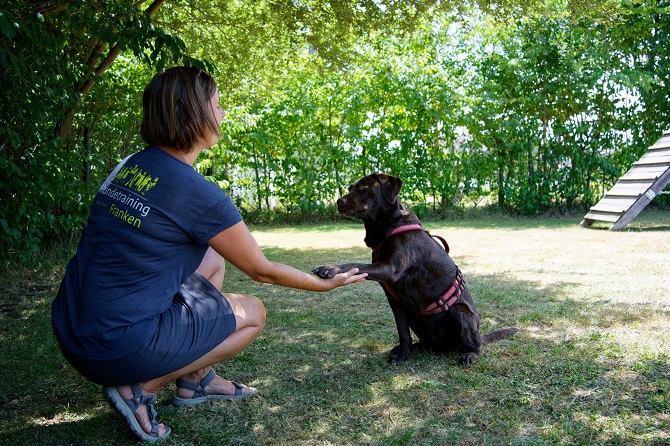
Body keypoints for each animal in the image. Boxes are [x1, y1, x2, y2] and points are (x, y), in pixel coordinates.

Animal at [314, 172, 520, 364]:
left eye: (365, 187)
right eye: (350, 188)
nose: (338, 201)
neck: (387, 226)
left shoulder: (389, 268)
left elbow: (354, 264)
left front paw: (329, 269)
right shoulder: (395, 300)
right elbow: (403, 331)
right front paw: (403, 355)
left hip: (459, 312)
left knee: (476, 346)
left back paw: (470, 353)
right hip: (414, 314)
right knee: (422, 341)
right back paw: (413, 348)